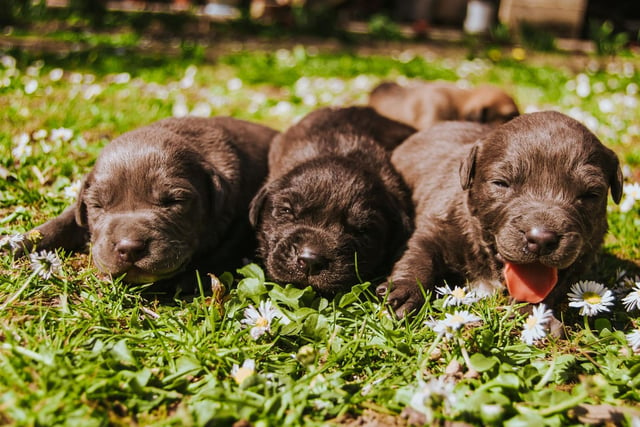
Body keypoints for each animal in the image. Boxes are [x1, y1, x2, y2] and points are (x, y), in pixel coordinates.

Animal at [9, 115, 276, 286]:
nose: (129, 248)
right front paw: (17, 243)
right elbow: (64, 220)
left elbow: (222, 251)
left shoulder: (240, 219)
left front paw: (187, 280)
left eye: (174, 201)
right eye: (98, 206)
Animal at [378, 112, 624, 316]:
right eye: (501, 183)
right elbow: (418, 254)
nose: (541, 239)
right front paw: (405, 292)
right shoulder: (436, 225)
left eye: (591, 195)